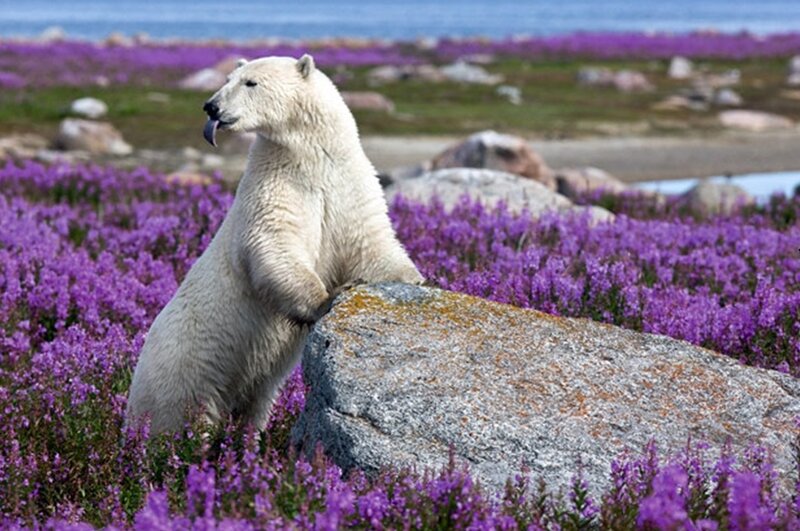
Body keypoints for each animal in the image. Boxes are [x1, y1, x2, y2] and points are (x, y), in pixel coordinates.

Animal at [125, 54, 423, 434]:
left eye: (250, 82)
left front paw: (414, 278)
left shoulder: (347, 185)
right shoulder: (276, 184)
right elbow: (274, 243)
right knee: (178, 420)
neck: (310, 158)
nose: (211, 106)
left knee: (254, 407)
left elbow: (369, 241)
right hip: (183, 370)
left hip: (254, 385)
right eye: (228, 78)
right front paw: (326, 299)